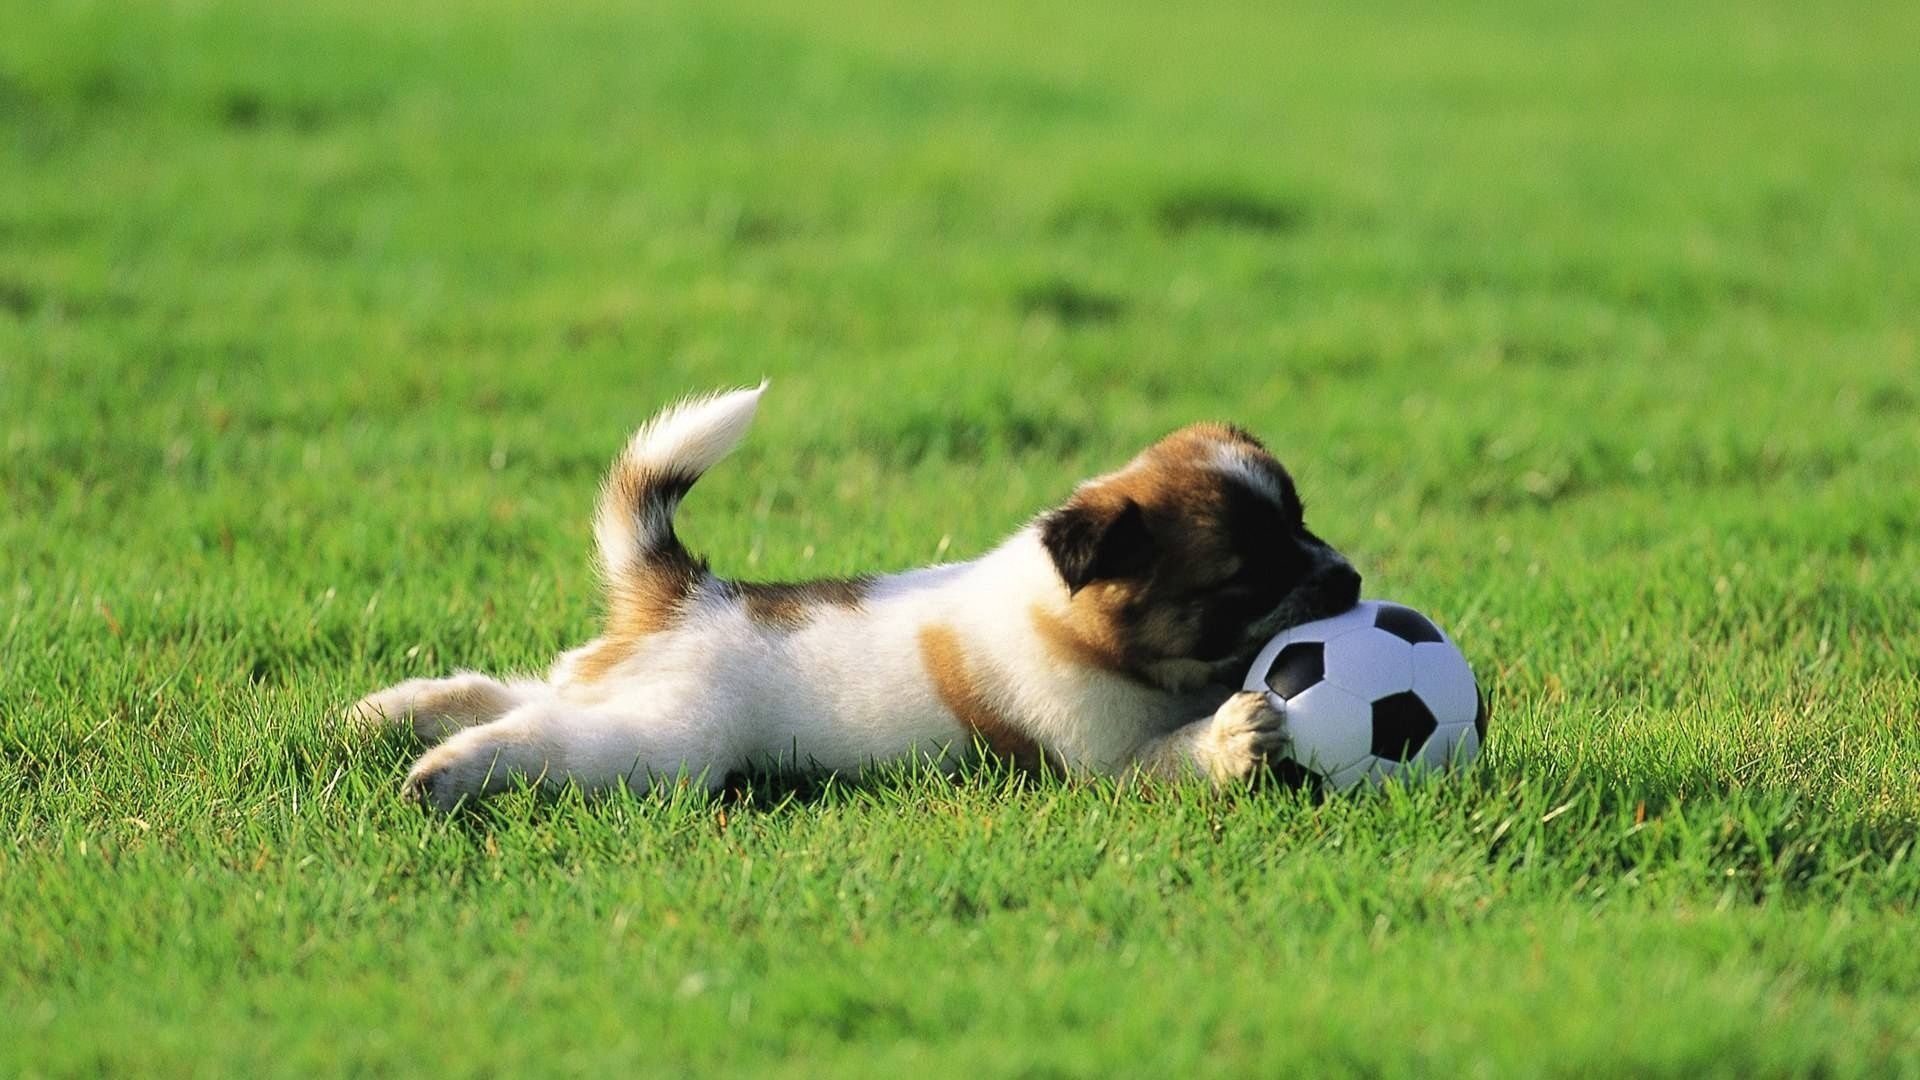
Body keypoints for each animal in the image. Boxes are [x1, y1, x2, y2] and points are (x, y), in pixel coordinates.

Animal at [349, 382, 1367, 803]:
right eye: (1246, 576)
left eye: (1304, 522)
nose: (1353, 578)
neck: (1079, 623)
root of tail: (686, 594)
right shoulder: (1104, 763)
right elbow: (1178, 754)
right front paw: (1237, 736)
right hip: (668, 739)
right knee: (543, 736)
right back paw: (445, 771)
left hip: (615, 685)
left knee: (514, 691)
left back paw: (385, 714)